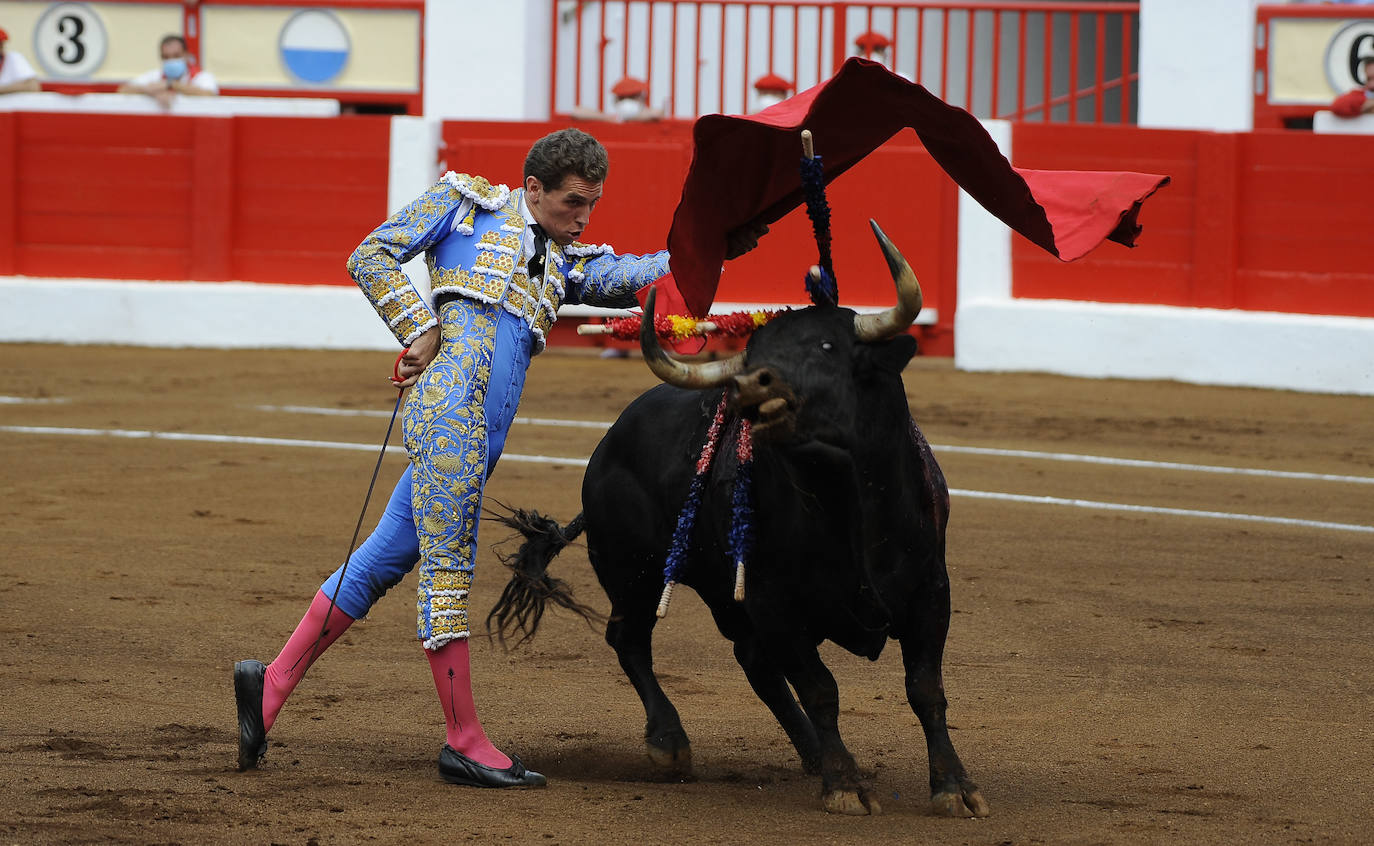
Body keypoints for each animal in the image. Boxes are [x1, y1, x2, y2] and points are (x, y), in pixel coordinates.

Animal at [491, 221, 989, 818]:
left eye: (828, 346)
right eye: (753, 355)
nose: (754, 385)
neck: (842, 500)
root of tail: (607, 447)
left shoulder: (931, 591)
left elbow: (925, 689)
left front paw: (955, 788)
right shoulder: (776, 603)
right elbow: (822, 689)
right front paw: (846, 786)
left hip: (719, 590)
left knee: (752, 661)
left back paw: (810, 753)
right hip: (635, 573)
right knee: (630, 639)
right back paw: (670, 743)